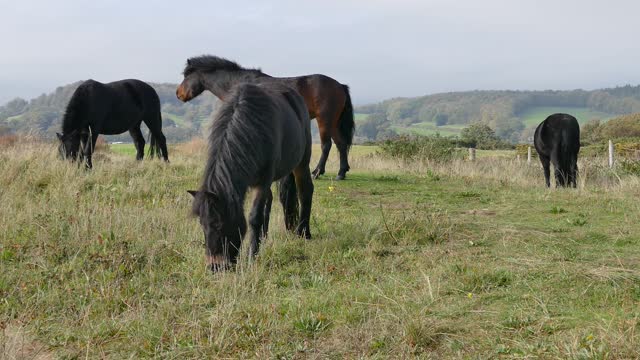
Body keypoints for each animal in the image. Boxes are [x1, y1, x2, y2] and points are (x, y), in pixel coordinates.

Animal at [175, 54, 356, 180]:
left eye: (186, 76)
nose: (178, 94)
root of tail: (339, 85)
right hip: (334, 122)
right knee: (341, 144)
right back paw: (341, 172)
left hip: (324, 120)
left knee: (327, 145)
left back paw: (317, 172)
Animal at [185, 81, 316, 272]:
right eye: (202, 224)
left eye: (219, 224)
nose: (215, 267)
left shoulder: (262, 181)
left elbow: (254, 217)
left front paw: (251, 256)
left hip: (302, 163)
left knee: (305, 191)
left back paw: (303, 232)